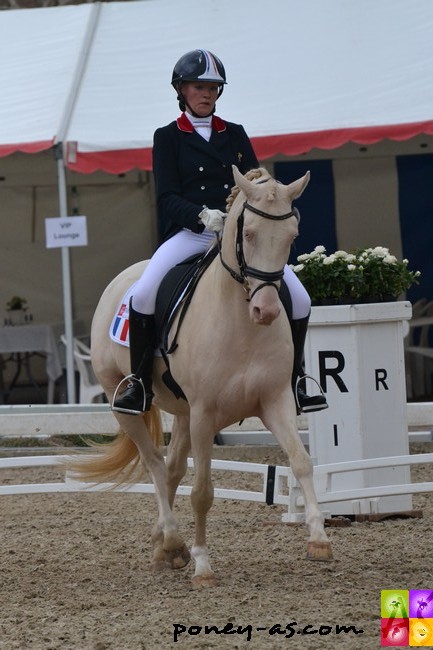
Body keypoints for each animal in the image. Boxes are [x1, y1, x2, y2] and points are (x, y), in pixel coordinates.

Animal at [72, 166, 332, 588]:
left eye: (291, 236)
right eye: (248, 234)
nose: (265, 311)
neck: (241, 325)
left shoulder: (274, 401)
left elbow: (301, 461)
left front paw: (319, 539)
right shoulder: (206, 413)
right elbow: (203, 491)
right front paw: (204, 565)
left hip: (182, 411)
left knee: (173, 468)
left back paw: (167, 545)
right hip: (122, 400)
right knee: (156, 464)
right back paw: (173, 539)